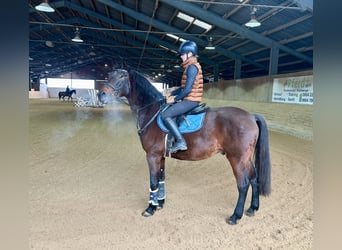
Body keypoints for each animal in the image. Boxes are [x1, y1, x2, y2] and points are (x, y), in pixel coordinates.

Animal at [97, 69, 272, 225]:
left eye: (121, 76)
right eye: (109, 75)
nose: (101, 94)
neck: (151, 113)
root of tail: (251, 116)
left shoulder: (152, 155)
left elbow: (153, 182)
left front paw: (150, 208)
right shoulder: (160, 156)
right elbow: (161, 178)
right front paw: (160, 203)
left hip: (237, 159)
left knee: (243, 184)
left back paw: (235, 216)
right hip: (246, 159)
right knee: (254, 178)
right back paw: (252, 208)